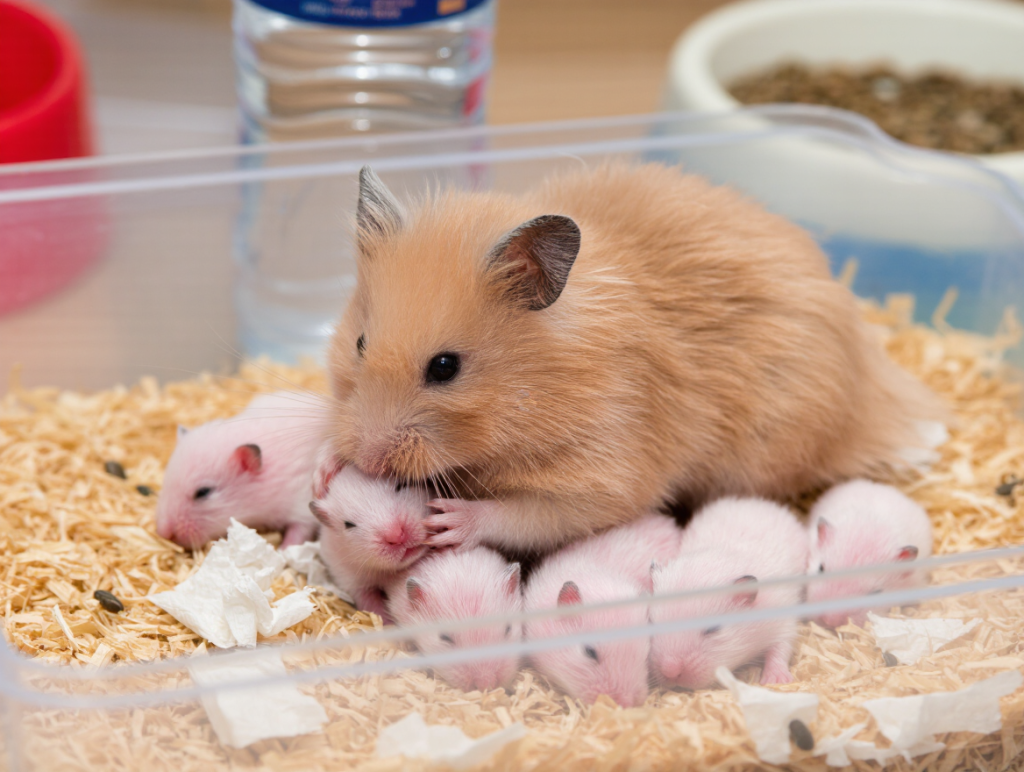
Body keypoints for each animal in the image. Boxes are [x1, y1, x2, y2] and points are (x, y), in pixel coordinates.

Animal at [310, 463, 431, 618]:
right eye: (348, 524)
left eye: (402, 485)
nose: (397, 536)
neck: (387, 571)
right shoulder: (354, 583)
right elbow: (374, 608)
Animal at [649, 497, 808, 688]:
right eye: (651, 625)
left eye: (713, 628)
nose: (670, 672)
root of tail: (756, 501)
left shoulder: (784, 623)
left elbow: (780, 649)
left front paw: (775, 681)